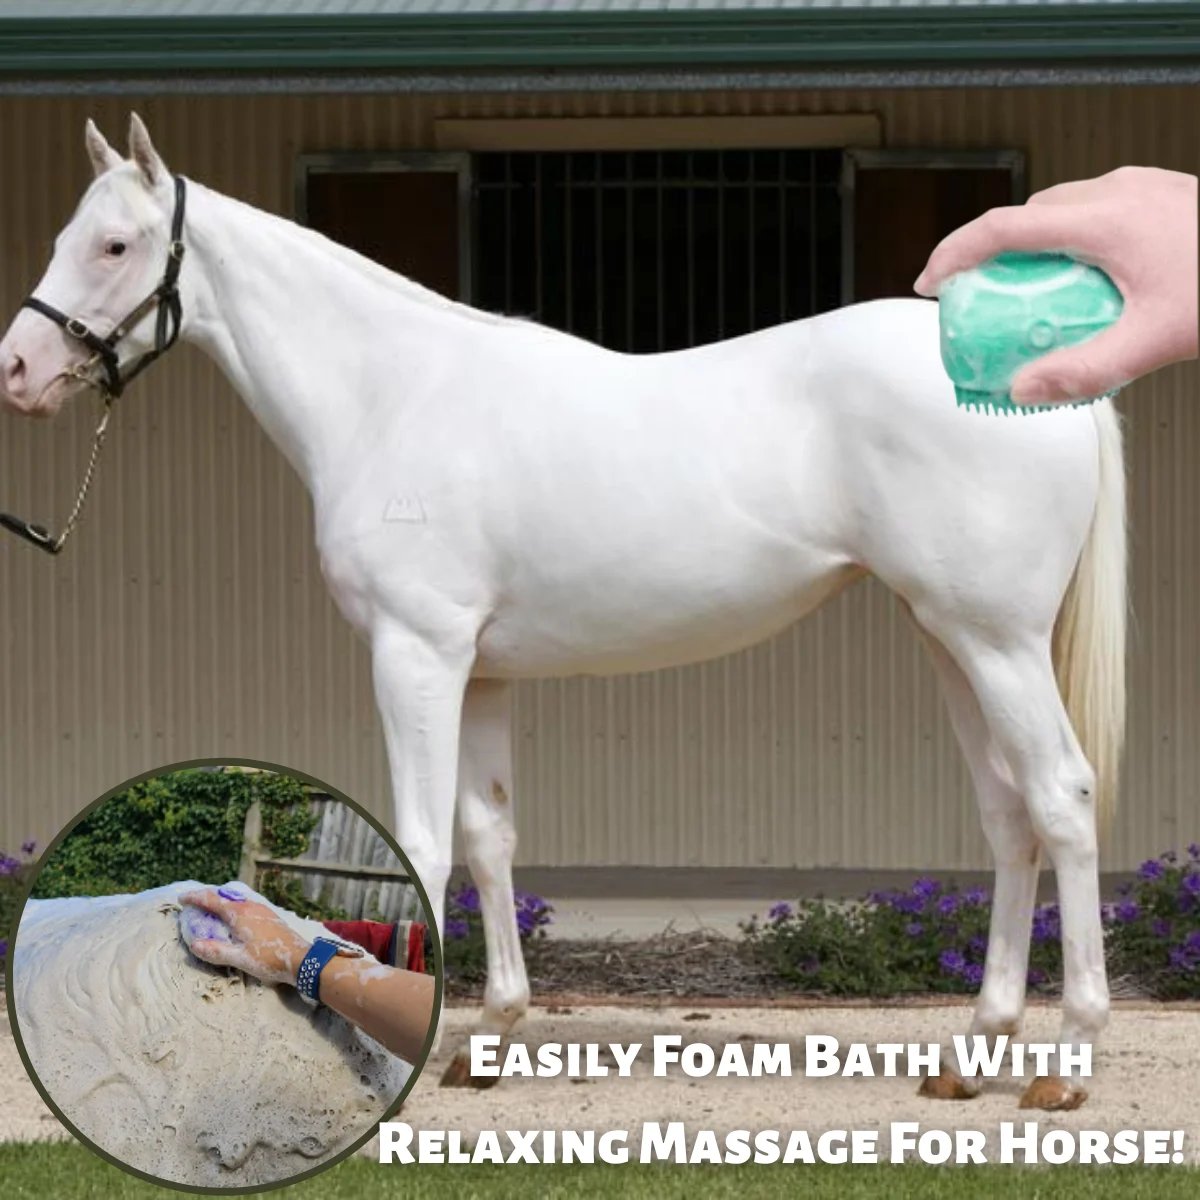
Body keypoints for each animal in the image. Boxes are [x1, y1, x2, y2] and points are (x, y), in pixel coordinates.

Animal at [0, 116, 1126, 1110]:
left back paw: (1067, 1067)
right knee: (1009, 815)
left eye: (114, 244)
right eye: (60, 236)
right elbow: (490, 836)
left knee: (1062, 799)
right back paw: (973, 1056)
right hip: (951, 637)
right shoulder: (481, 670)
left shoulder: (415, 655)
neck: (390, 396)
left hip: (998, 641)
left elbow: (424, 842)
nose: (17, 370)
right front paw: (489, 1038)